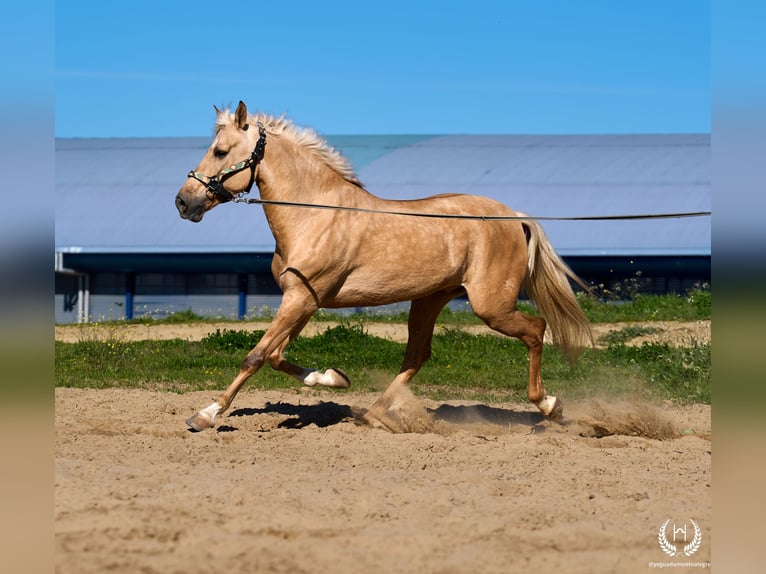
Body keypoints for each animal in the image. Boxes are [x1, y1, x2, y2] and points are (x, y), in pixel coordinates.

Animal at [175, 101, 593, 432]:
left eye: (220, 151)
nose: (183, 201)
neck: (313, 214)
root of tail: (513, 216)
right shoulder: (303, 301)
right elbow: (276, 356)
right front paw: (334, 378)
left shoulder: (300, 300)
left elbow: (256, 356)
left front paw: (205, 415)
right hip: (429, 300)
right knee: (417, 355)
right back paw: (371, 414)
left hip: (491, 306)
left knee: (536, 330)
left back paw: (549, 406)